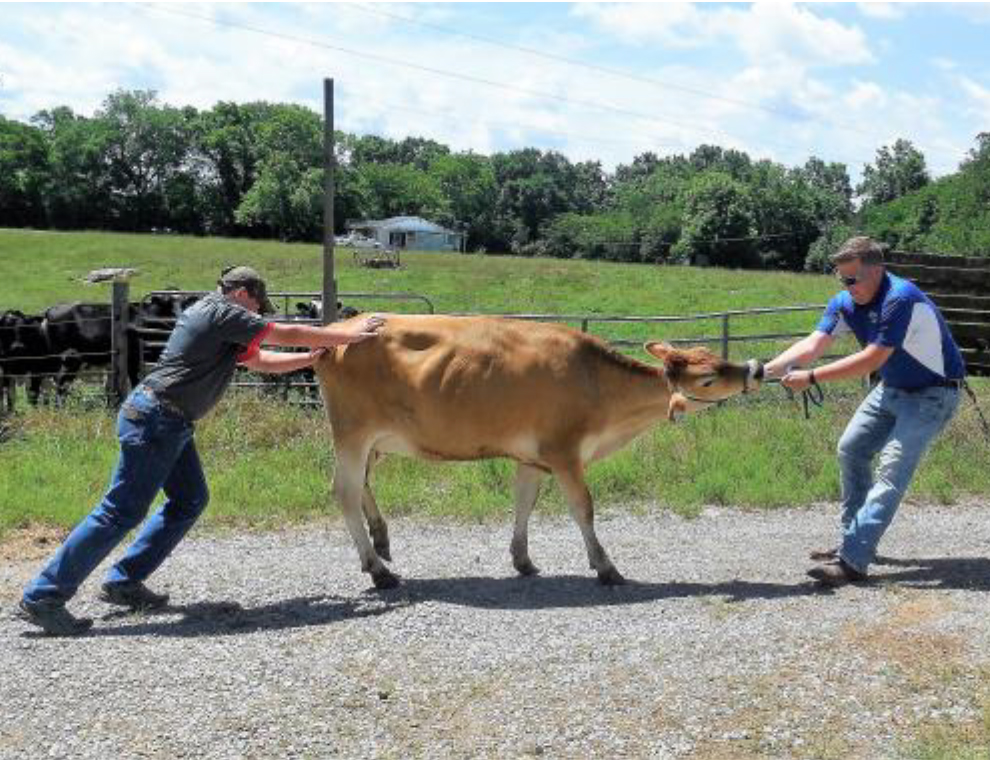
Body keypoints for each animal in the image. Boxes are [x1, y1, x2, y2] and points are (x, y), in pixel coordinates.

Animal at [314, 314, 764, 588]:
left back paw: (380, 541)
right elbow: (583, 509)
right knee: (345, 491)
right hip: (352, 432)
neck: (597, 386)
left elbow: (523, 504)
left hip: (373, 442)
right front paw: (606, 567)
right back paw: (379, 570)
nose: (756, 369)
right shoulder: (564, 452)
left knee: (363, 484)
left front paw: (523, 560)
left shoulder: (532, 457)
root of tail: (339, 328)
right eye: (707, 379)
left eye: (713, 354)